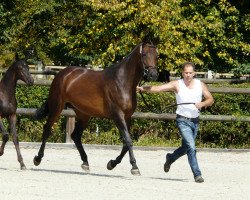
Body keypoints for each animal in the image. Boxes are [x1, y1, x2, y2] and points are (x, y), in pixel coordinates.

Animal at [33, 42, 158, 175]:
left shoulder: (127, 117)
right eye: (144, 54)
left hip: (83, 114)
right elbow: (128, 140)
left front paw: (111, 164)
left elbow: (125, 143)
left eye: (157, 55)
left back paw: (85, 163)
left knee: (75, 135)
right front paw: (134, 167)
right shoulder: (118, 116)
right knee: (47, 129)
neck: (122, 81)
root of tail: (62, 74)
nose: (154, 75)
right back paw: (38, 158)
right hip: (57, 107)